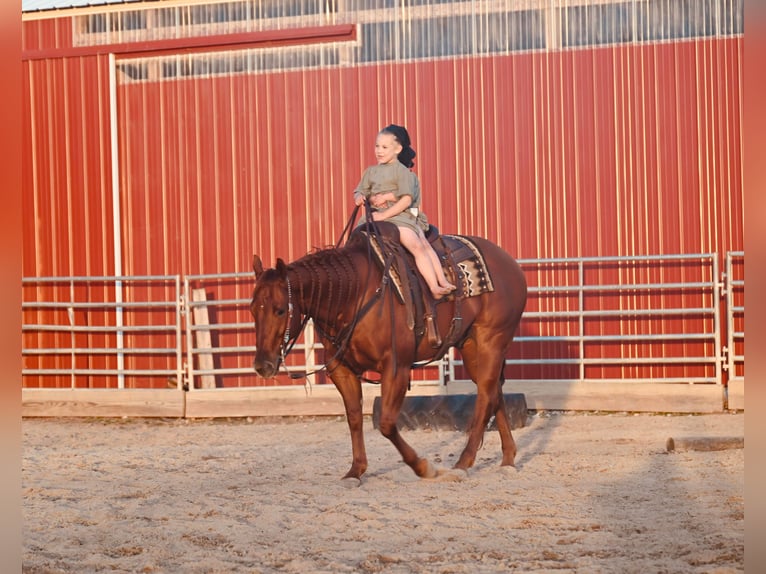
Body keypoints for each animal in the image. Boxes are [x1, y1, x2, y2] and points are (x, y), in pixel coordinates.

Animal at [252, 225, 528, 486]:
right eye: (253, 309)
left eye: (280, 310)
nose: (262, 365)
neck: (355, 295)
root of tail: (508, 262)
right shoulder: (341, 370)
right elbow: (354, 417)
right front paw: (355, 471)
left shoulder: (396, 368)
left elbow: (385, 423)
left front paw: (423, 468)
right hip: (471, 346)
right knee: (492, 391)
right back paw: (508, 459)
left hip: (492, 341)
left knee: (485, 397)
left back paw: (463, 463)